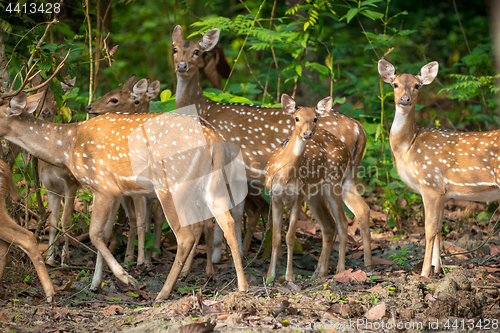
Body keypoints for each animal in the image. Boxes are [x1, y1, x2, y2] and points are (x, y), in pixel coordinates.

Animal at [0, 54, 248, 298]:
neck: (68, 146)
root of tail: (214, 138)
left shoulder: (102, 185)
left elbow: (94, 233)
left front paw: (126, 277)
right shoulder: (115, 191)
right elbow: (106, 233)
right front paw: (96, 283)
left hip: (171, 183)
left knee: (186, 234)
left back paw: (164, 292)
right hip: (208, 183)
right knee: (225, 222)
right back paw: (241, 286)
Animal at [266, 94, 352, 278]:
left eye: (315, 118)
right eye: (296, 118)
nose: (307, 133)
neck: (284, 175)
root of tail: (346, 149)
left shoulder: (298, 197)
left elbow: (290, 236)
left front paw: (289, 276)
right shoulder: (274, 197)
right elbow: (275, 237)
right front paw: (270, 276)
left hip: (334, 183)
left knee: (342, 222)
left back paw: (340, 269)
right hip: (314, 195)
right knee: (329, 225)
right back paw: (319, 272)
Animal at [378, 59, 500, 274]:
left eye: (417, 85)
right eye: (395, 84)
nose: (405, 99)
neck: (408, 145)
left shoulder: (430, 185)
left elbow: (428, 231)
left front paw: (424, 272)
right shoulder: (442, 192)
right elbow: (439, 230)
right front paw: (437, 269)